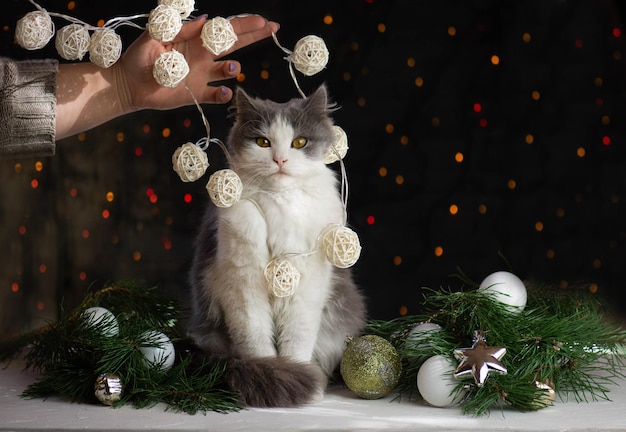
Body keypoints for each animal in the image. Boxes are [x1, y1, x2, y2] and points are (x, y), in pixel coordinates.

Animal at [188, 85, 368, 408]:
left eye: (299, 142)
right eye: (263, 142)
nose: (281, 160)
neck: (280, 203)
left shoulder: (307, 288)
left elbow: (296, 339)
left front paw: (302, 381)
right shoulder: (243, 284)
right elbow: (257, 340)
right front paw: (275, 376)